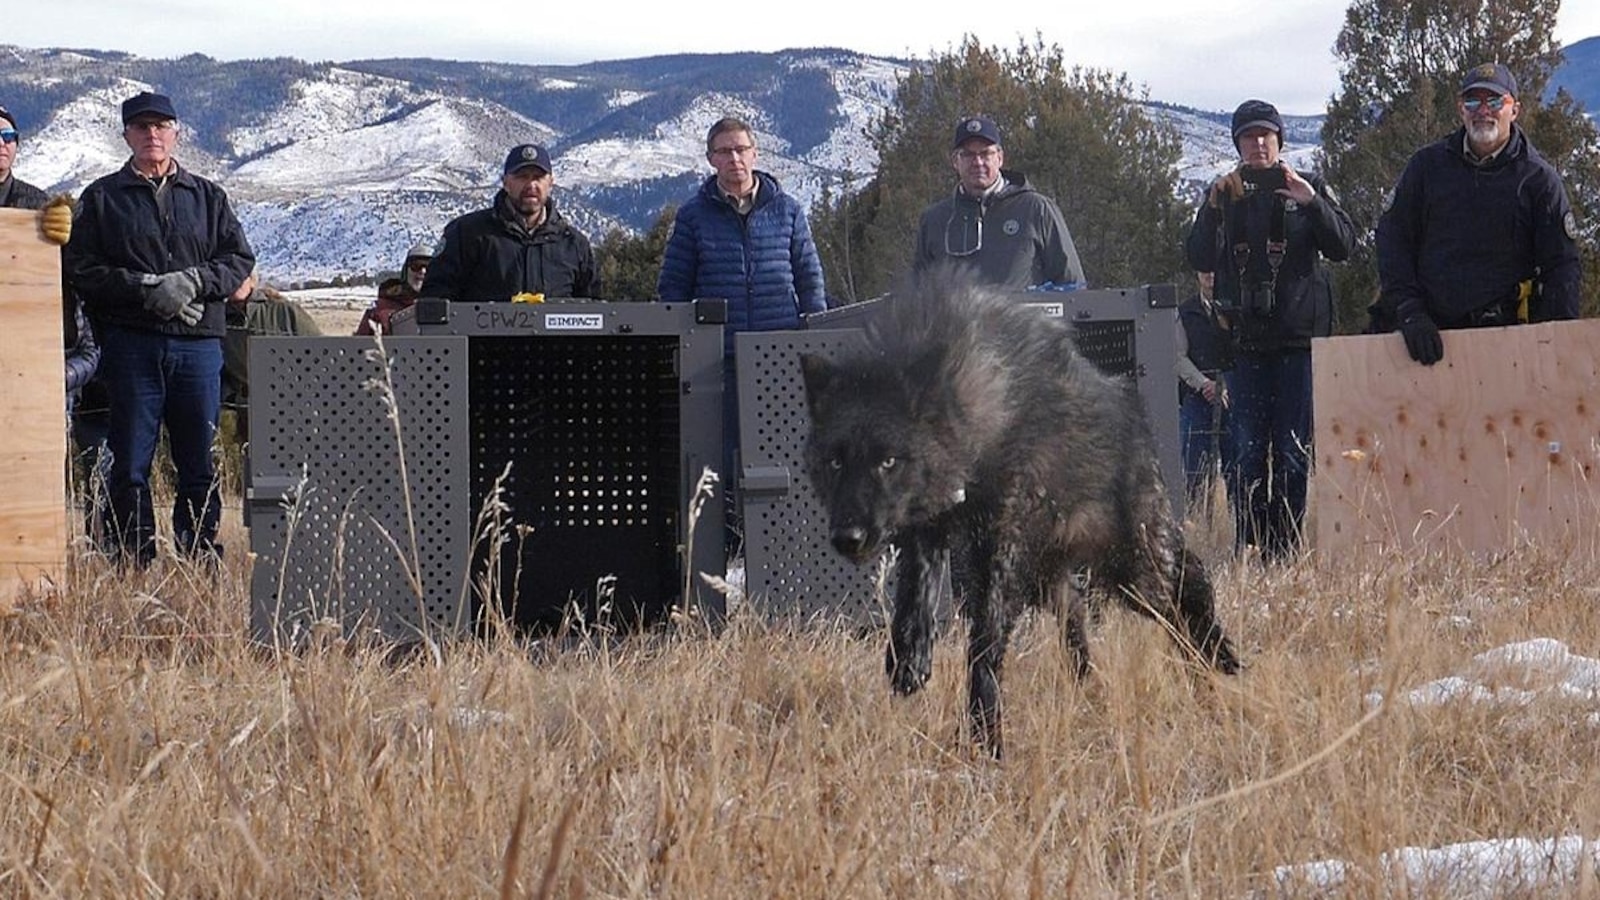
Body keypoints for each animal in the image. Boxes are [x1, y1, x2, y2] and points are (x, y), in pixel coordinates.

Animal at [806, 277, 1241, 752]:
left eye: (888, 461)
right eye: (835, 462)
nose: (848, 537)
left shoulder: (1003, 550)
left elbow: (985, 642)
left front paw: (985, 735)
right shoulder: (929, 530)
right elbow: (915, 598)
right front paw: (910, 659)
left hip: (1134, 572)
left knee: (1187, 593)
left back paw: (1217, 659)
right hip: (1061, 582)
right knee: (1080, 626)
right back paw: (1094, 690)